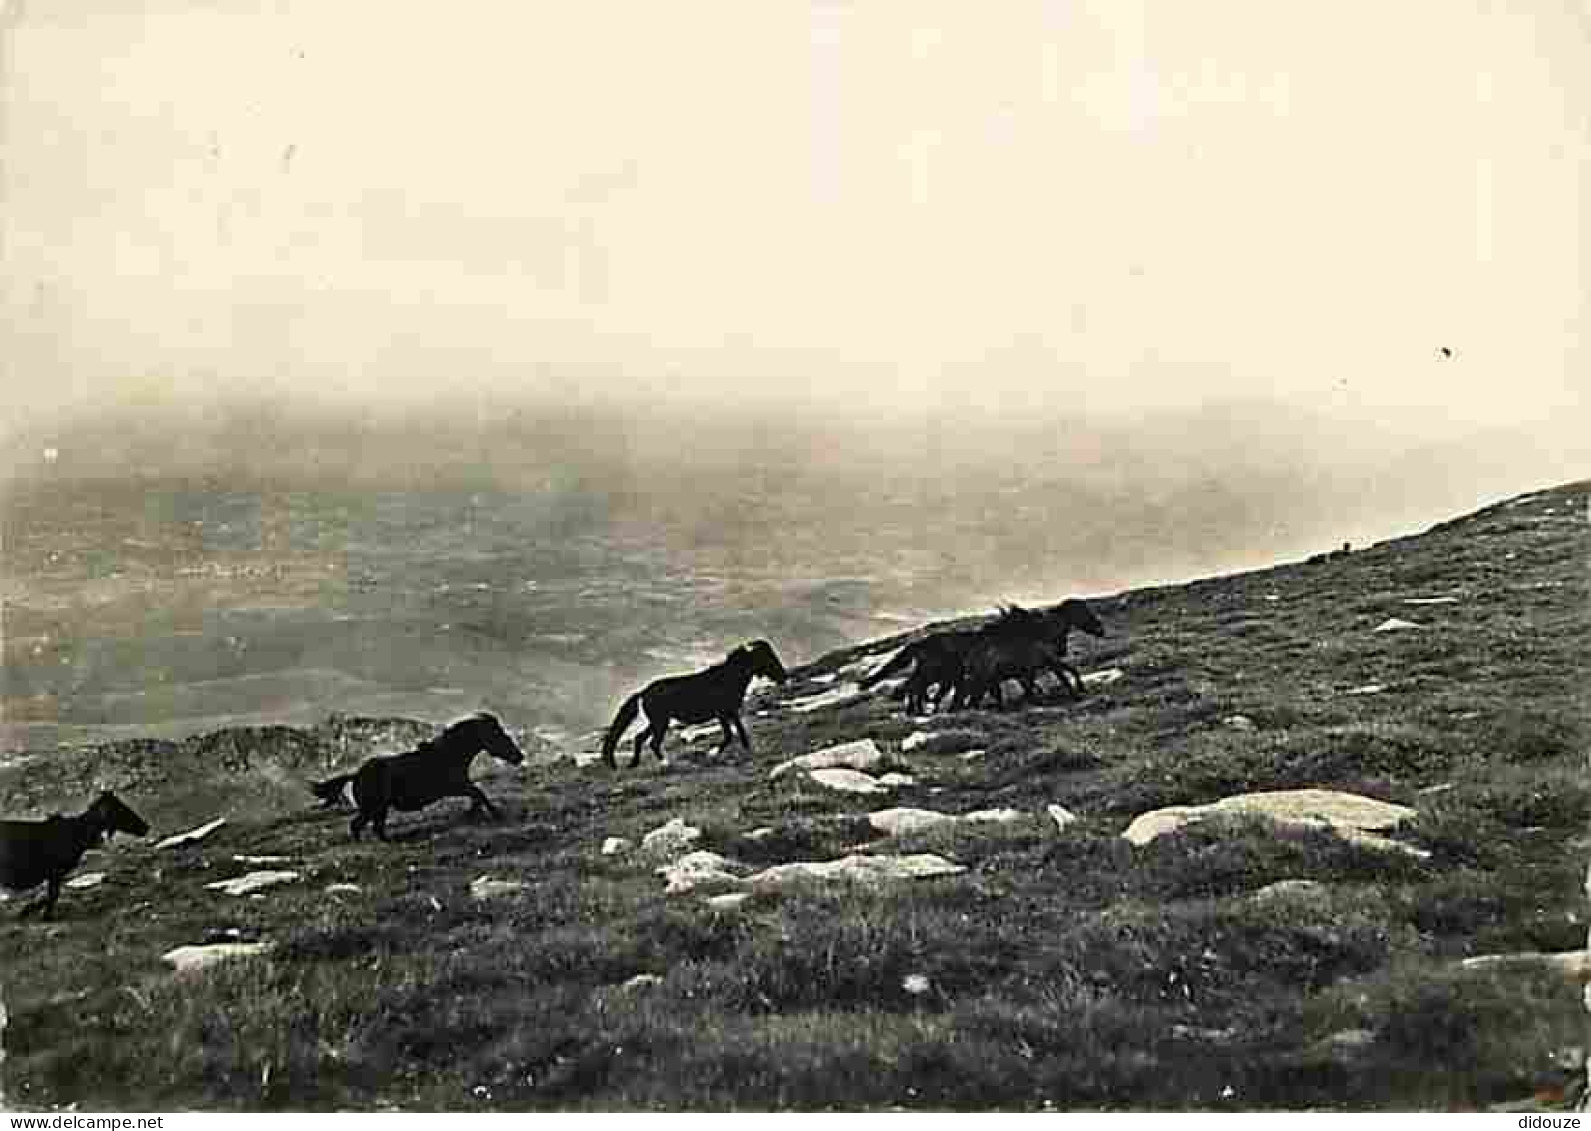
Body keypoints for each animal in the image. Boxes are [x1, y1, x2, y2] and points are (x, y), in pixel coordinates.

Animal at [0, 788, 149, 922]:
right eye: (121, 809)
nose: (146, 827)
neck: (79, 830)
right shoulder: (55, 873)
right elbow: (53, 895)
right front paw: (44, 915)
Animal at [311, 715, 528, 839]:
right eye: (499, 735)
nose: (519, 756)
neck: (450, 754)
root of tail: (355, 775)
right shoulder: (455, 787)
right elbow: (479, 792)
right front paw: (495, 814)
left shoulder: (459, 786)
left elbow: (477, 794)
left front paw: (474, 814)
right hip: (372, 808)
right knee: (357, 826)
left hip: (380, 809)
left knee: (375, 828)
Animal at [601, 636, 789, 769]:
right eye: (766, 657)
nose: (783, 677)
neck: (728, 678)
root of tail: (643, 692)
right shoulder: (722, 713)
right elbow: (729, 735)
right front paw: (713, 753)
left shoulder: (732, 711)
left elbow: (741, 732)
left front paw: (749, 750)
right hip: (660, 722)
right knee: (652, 742)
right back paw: (666, 763)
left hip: (657, 722)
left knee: (640, 738)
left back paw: (635, 764)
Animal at [941, 598, 1107, 712]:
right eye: (1083, 611)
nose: (1100, 629)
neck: (1044, 633)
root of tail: (970, 657)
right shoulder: (1050, 661)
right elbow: (1065, 676)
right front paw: (1077, 693)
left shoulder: (1040, 666)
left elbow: (1068, 672)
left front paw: (1079, 690)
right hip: (983, 680)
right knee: (972, 699)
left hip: (986, 681)